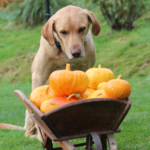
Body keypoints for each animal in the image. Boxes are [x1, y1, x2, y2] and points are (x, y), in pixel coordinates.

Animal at [0, 4, 101, 141]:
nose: (76, 53)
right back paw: (35, 136)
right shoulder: (39, 76)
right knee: (28, 131)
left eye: (82, 29)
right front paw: (42, 135)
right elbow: (38, 115)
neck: (63, 53)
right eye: (63, 32)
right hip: (28, 113)